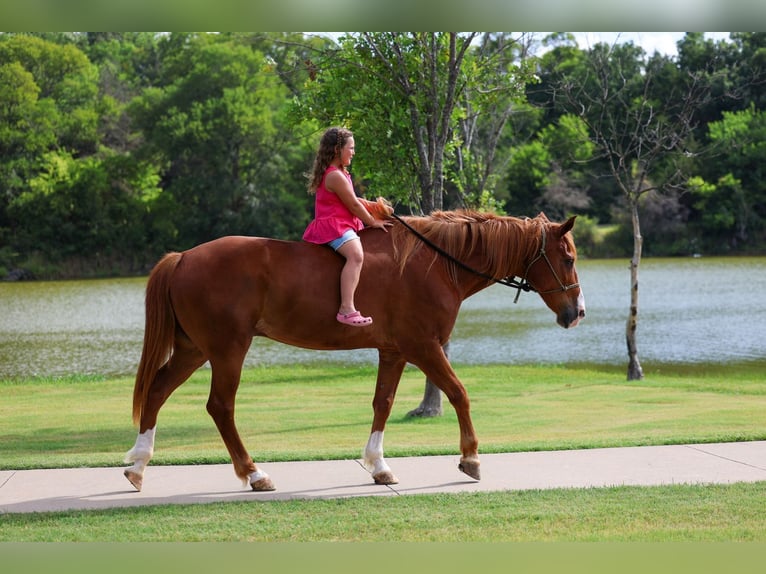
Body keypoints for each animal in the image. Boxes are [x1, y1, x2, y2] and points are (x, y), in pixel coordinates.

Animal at [124, 209, 585, 492]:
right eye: (567, 258)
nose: (576, 312)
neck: (436, 264)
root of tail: (183, 257)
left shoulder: (395, 351)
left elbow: (383, 403)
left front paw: (378, 465)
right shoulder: (424, 346)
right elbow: (458, 393)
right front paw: (470, 458)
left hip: (193, 349)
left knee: (158, 390)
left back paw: (137, 465)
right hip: (226, 349)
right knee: (220, 406)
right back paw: (253, 473)